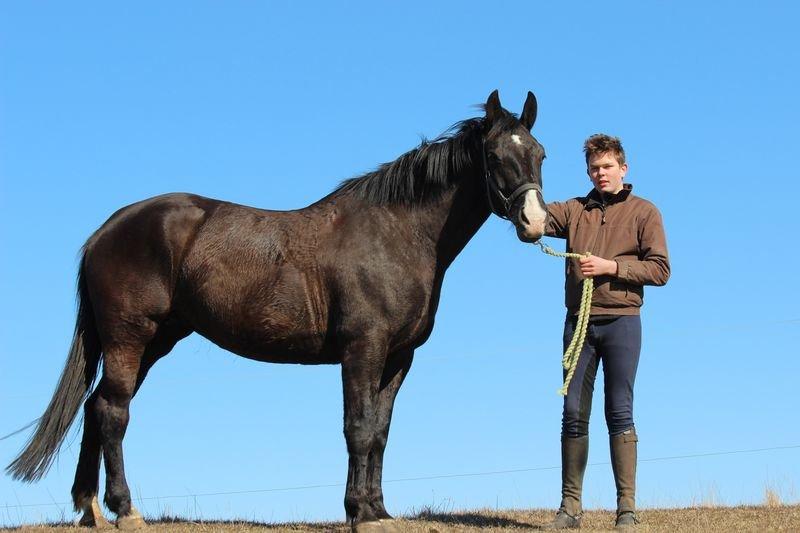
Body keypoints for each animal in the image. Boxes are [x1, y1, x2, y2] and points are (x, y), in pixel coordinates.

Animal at [6, 89, 548, 528]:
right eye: (496, 154)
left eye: (539, 152)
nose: (536, 221)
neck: (395, 234)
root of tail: (107, 230)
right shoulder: (362, 350)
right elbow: (357, 428)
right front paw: (358, 513)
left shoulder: (398, 357)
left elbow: (379, 432)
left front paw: (378, 510)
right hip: (129, 337)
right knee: (113, 412)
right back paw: (126, 510)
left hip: (154, 342)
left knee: (94, 407)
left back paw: (91, 508)